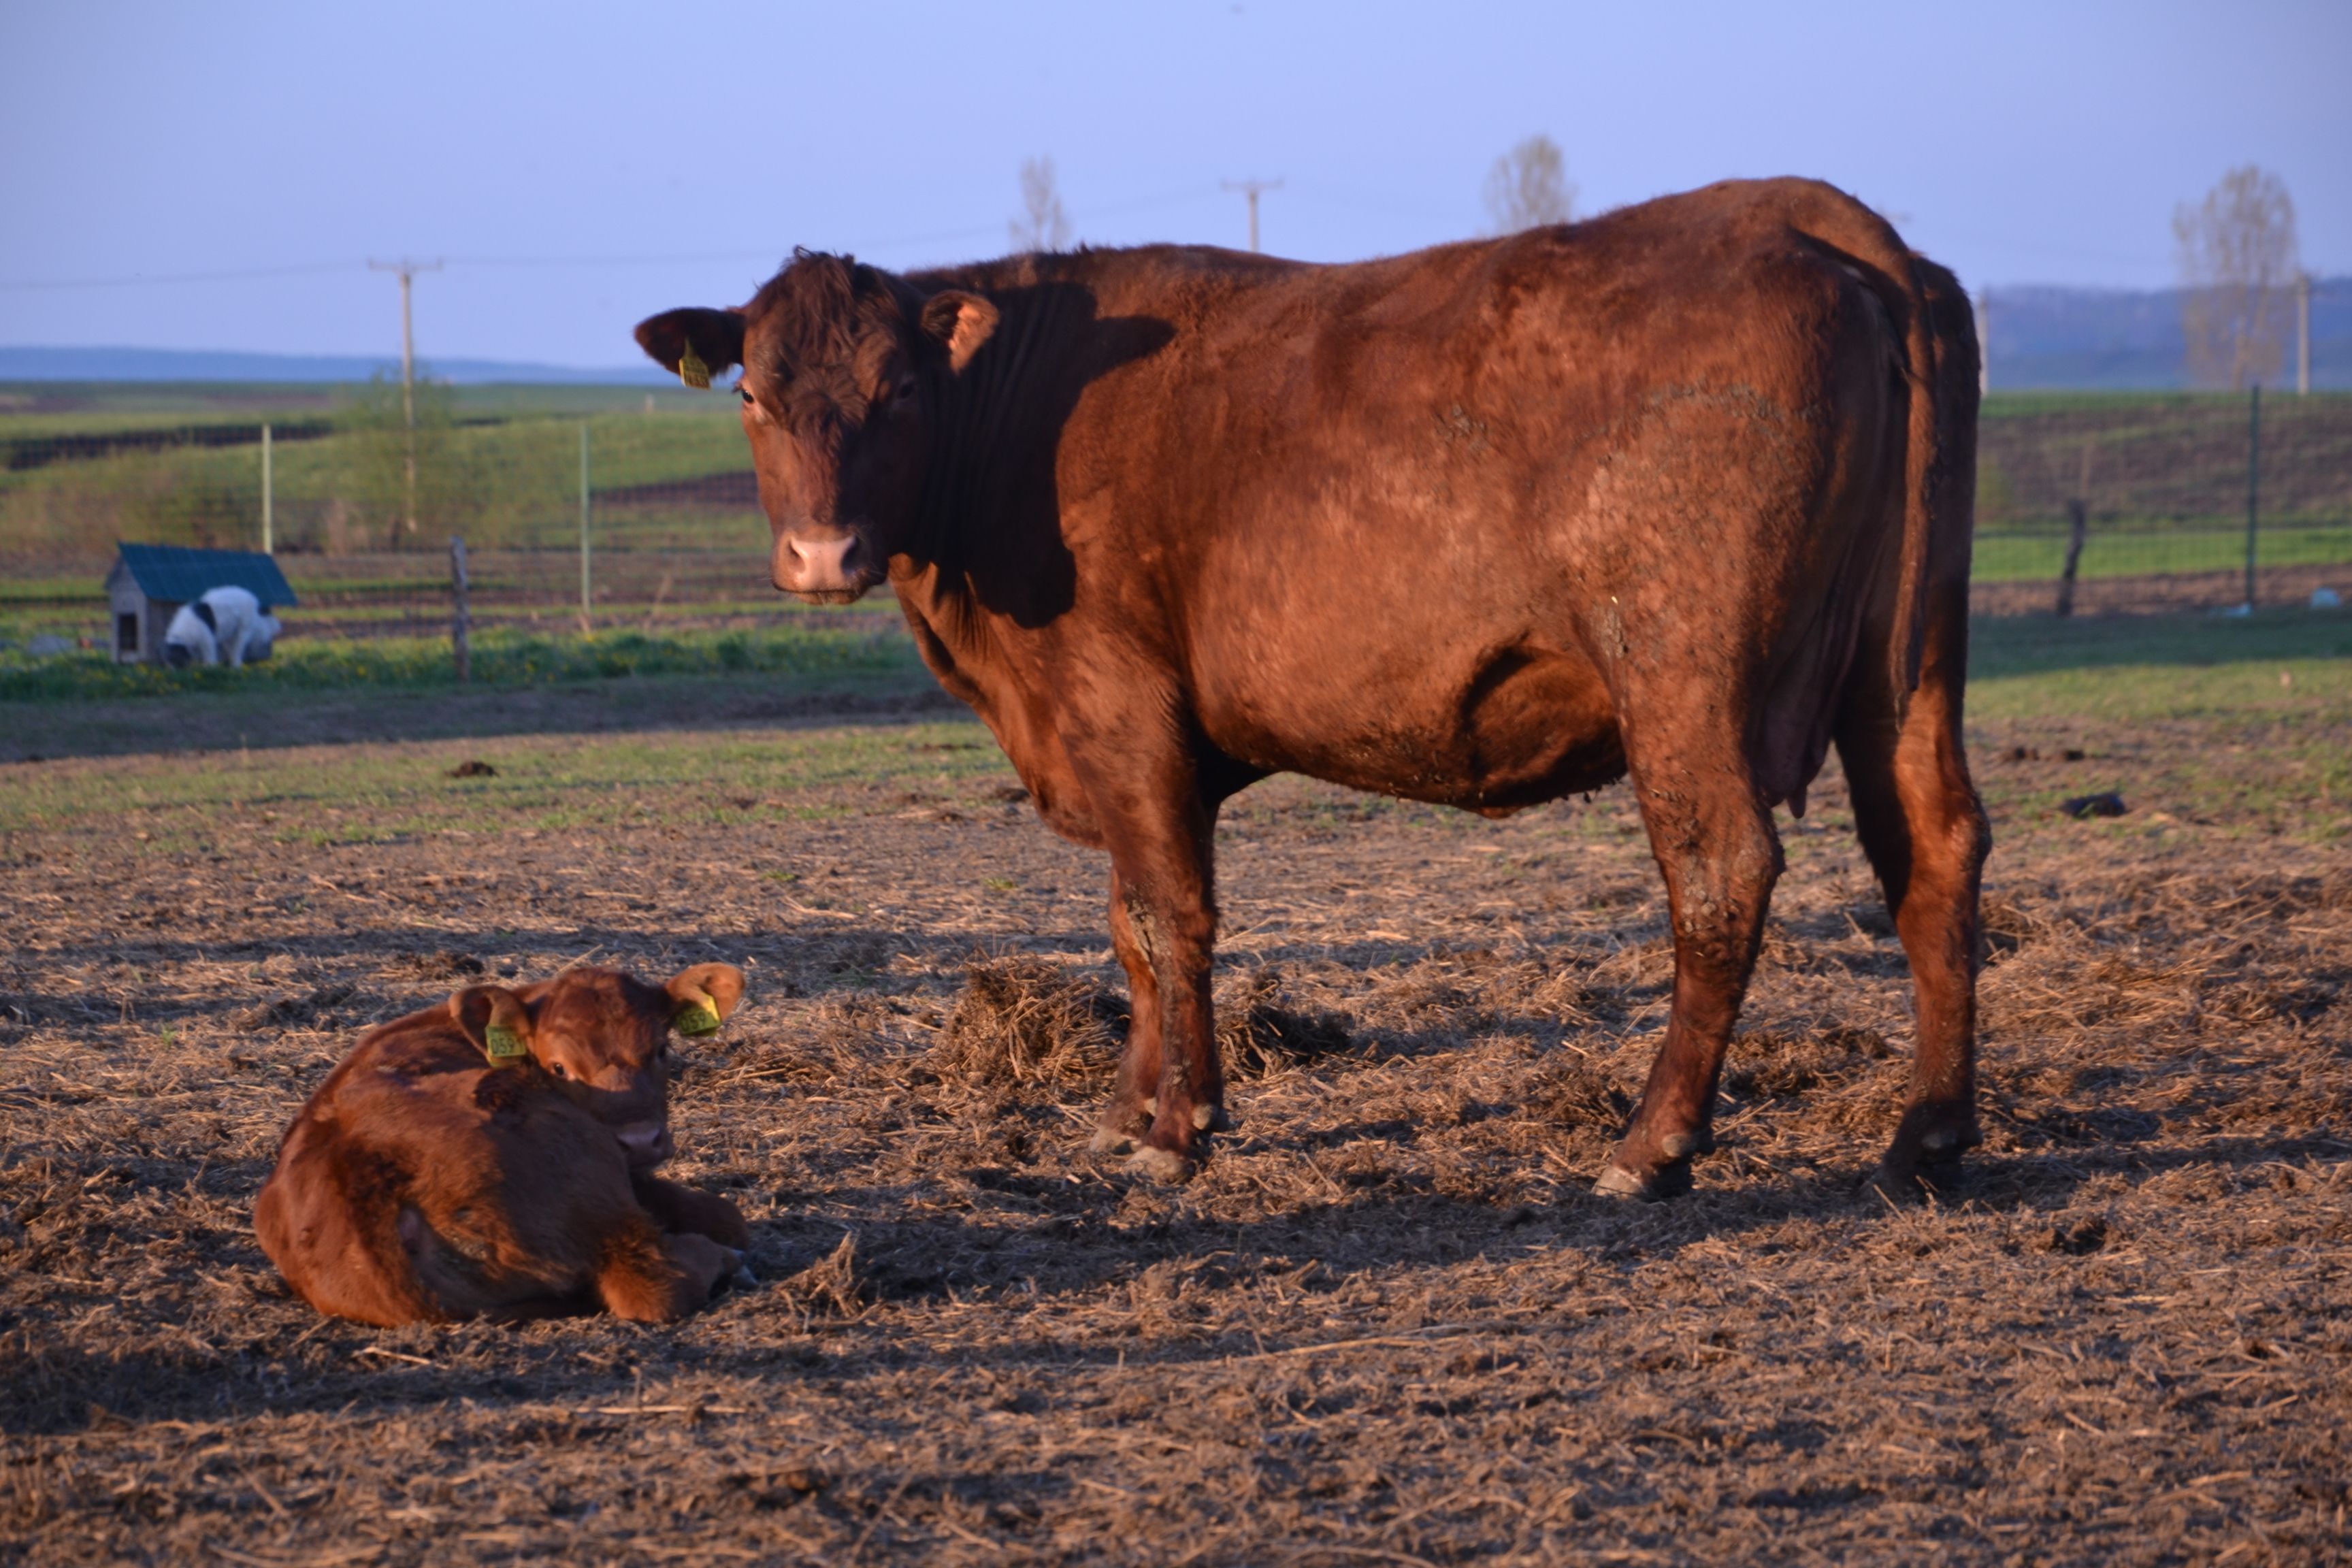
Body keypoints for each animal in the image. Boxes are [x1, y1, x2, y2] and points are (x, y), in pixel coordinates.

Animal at [254, 963, 751, 1325]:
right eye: (559, 1067)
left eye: (662, 1049)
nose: (640, 1141)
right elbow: (726, 1215)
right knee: (653, 1282)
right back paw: (728, 1262)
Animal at [636, 177, 1987, 1199]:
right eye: (753, 392)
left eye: (902, 388)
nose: (824, 556)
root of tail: (1800, 212)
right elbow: (1129, 921)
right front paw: (1127, 1113)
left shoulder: (1121, 703)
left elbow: (1168, 913)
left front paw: (1175, 1131)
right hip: (1907, 663)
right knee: (1935, 850)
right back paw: (1926, 1135)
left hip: (1679, 669)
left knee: (1719, 875)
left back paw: (1649, 1146)